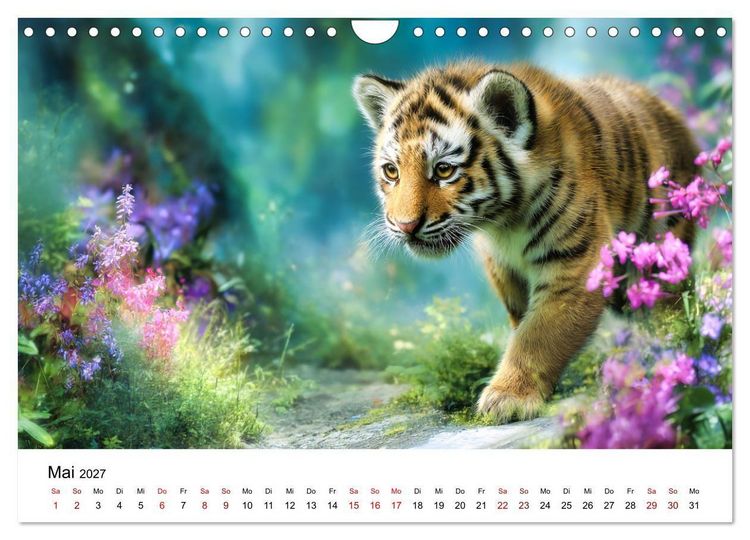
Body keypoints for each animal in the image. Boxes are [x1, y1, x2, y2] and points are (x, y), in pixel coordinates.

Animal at [353, 60, 698, 422]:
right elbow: (522, 324)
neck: (503, 221)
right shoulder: (503, 269)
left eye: (445, 170)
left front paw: (508, 397)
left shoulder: (575, 266)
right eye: (392, 172)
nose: (404, 226)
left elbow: (538, 335)